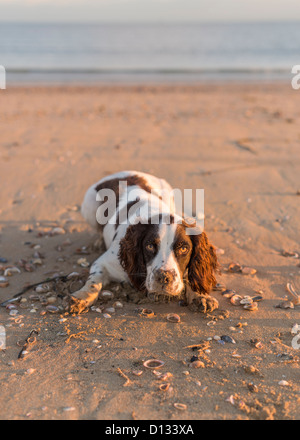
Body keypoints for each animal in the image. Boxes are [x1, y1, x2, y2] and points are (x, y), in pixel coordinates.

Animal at [71, 171, 219, 312]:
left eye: (183, 248)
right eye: (149, 246)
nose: (163, 277)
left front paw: (201, 296)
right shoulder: (104, 263)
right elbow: (94, 281)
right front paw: (81, 296)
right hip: (89, 207)